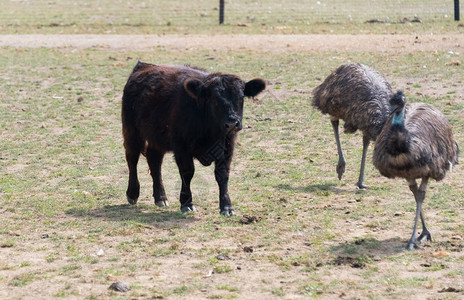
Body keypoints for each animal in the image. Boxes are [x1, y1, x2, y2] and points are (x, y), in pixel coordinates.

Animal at [120, 61, 264, 216]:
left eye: (241, 97)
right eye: (214, 99)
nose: (232, 123)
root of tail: (143, 66)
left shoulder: (227, 147)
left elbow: (223, 175)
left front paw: (226, 207)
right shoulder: (181, 147)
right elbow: (187, 172)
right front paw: (186, 203)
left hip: (156, 138)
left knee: (154, 161)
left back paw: (161, 197)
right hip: (132, 132)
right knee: (132, 159)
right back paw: (132, 193)